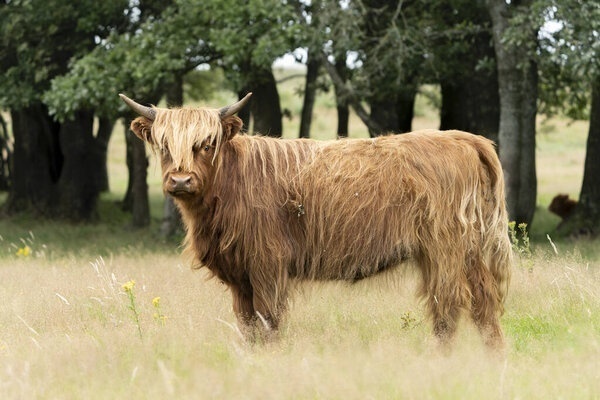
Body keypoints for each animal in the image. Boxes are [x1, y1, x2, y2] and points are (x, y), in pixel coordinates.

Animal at [120, 92, 510, 348]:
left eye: (207, 144)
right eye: (164, 146)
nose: (180, 180)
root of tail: (465, 138)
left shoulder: (267, 265)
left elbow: (268, 319)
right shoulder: (240, 276)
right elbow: (247, 324)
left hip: (444, 250)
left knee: (449, 304)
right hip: (467, 251)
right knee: (484, 301)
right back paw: (493, 356)